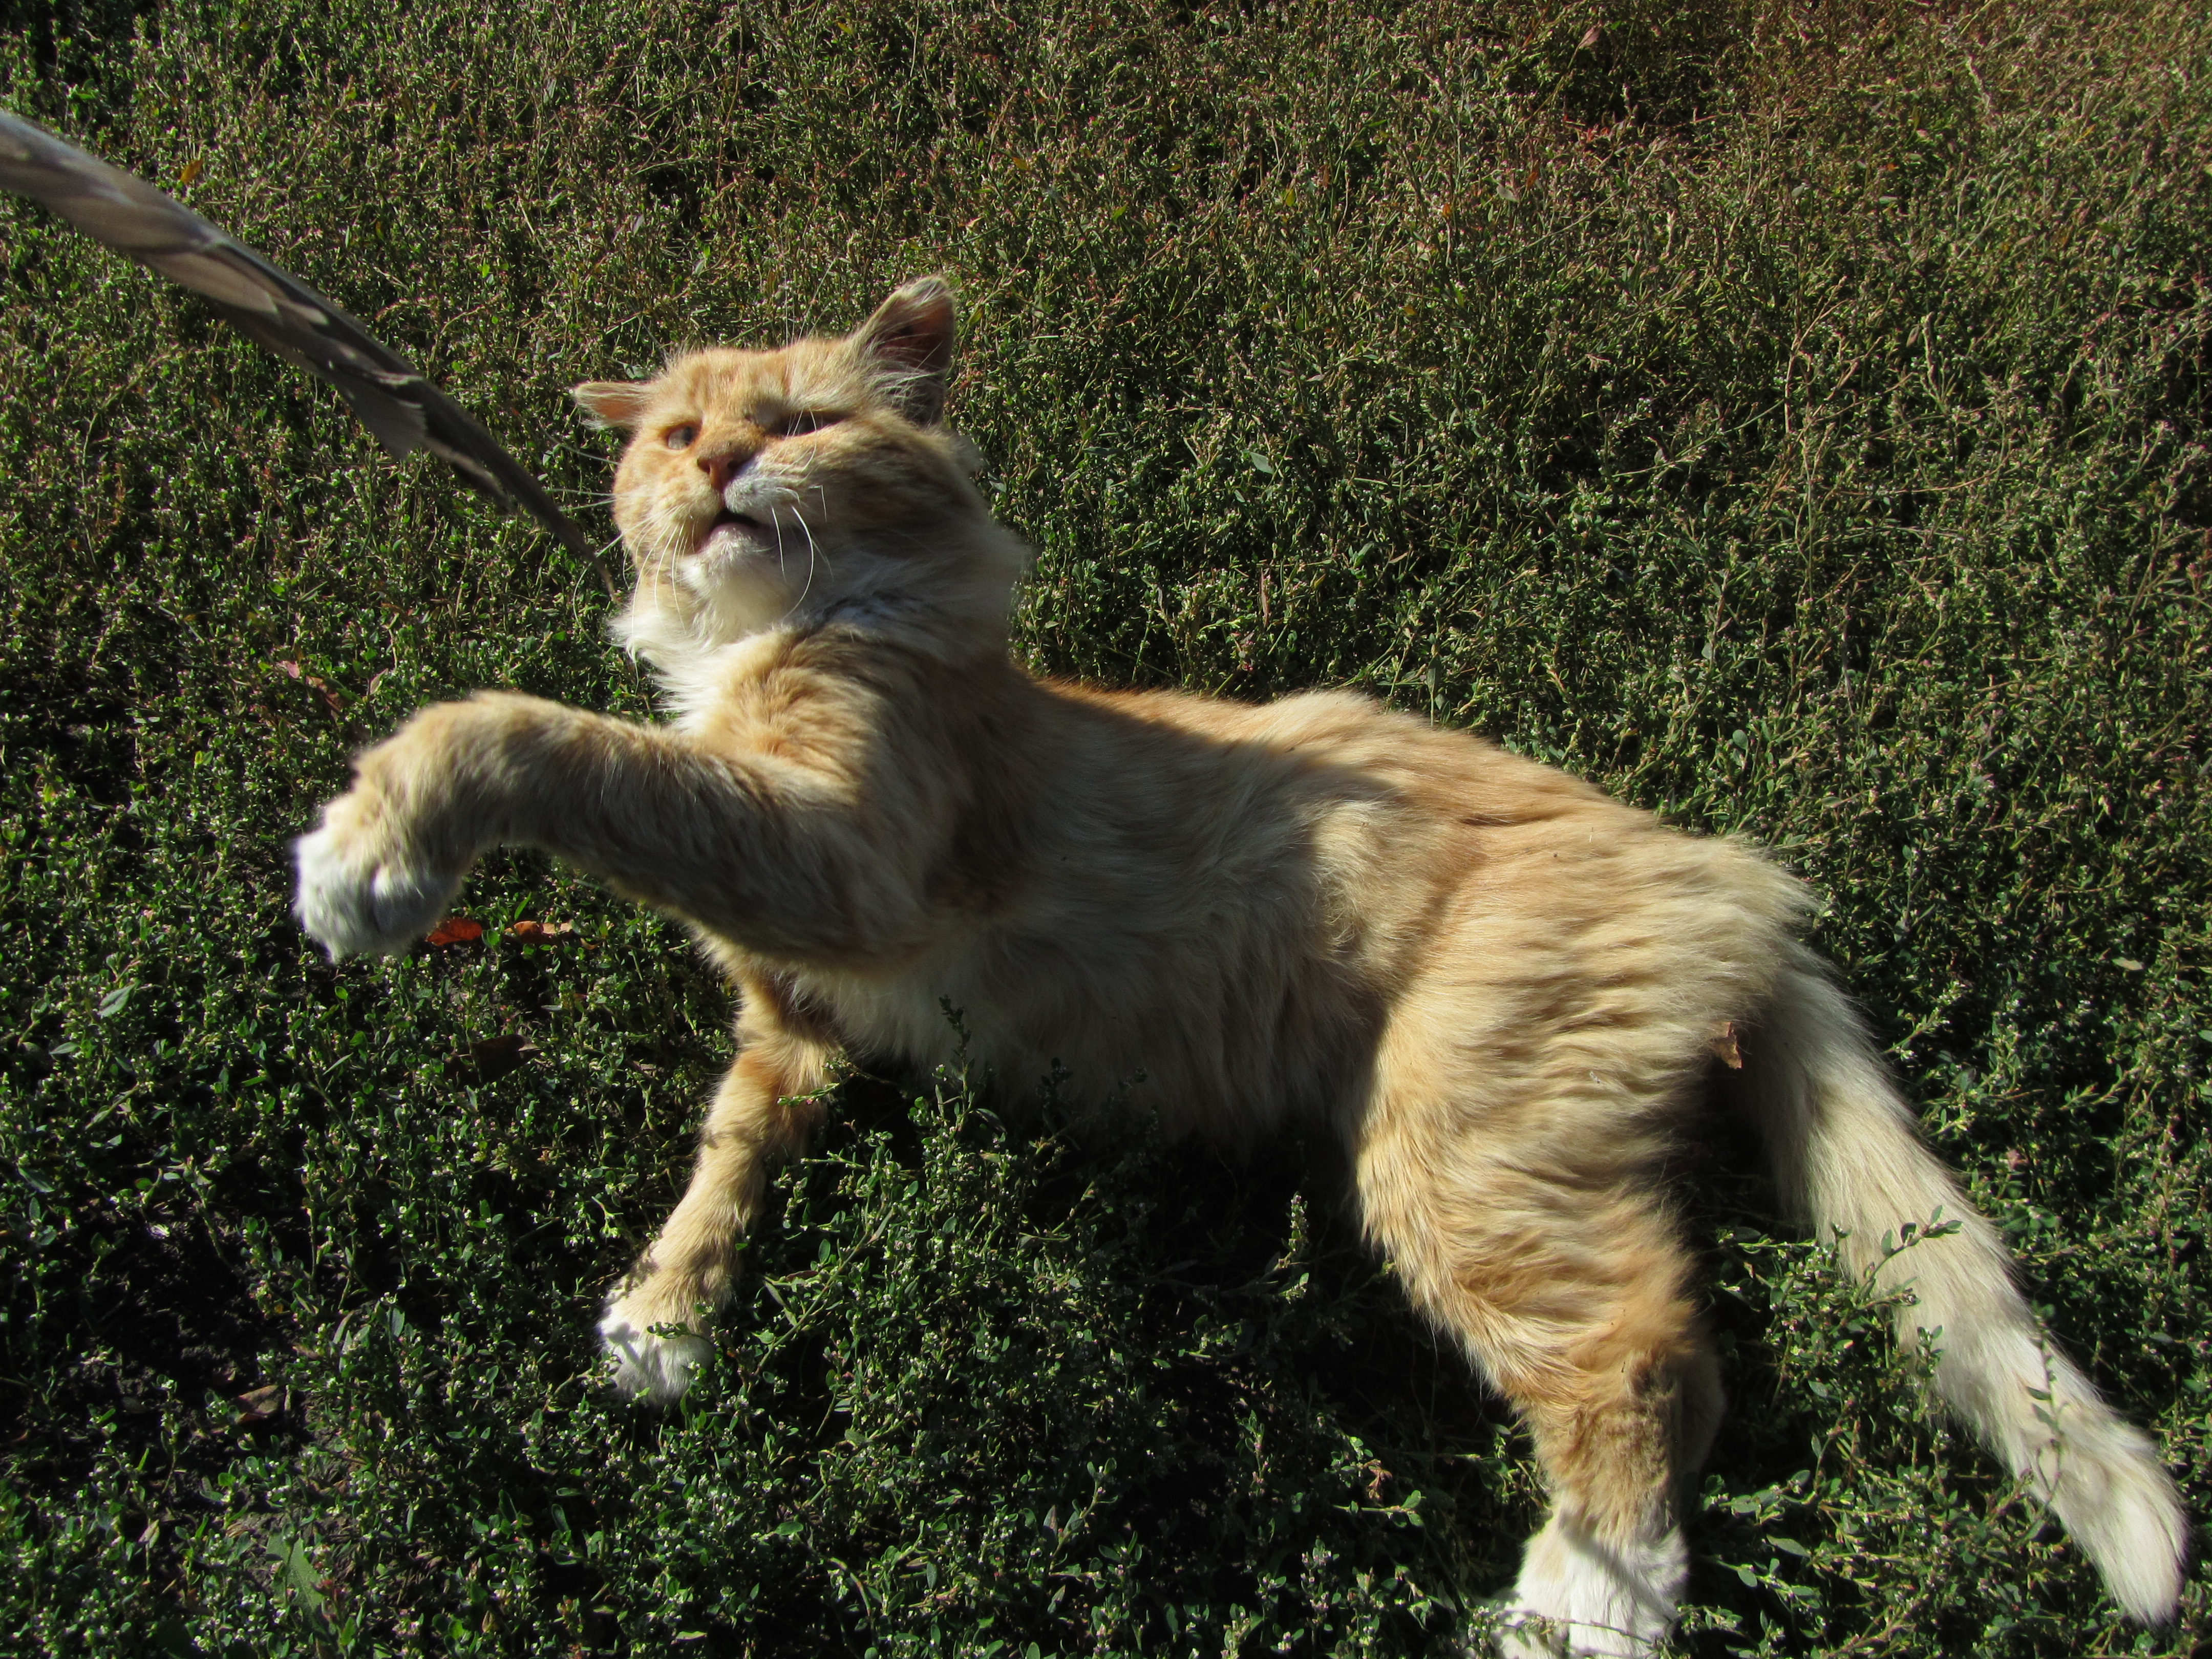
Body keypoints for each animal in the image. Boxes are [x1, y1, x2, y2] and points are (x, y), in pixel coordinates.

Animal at [299, 280, 2194, 1654]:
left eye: (806, 422)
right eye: (682, 433)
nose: (711, 477)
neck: (804, 640)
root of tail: (1725, 872)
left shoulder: (836, 855)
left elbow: (545, 740)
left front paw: (373, 848)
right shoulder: (804, 1010)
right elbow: (732, 1144)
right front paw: (668, 1312)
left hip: (1453, 1150)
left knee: (1649, 1359)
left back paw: (1584, 1606)